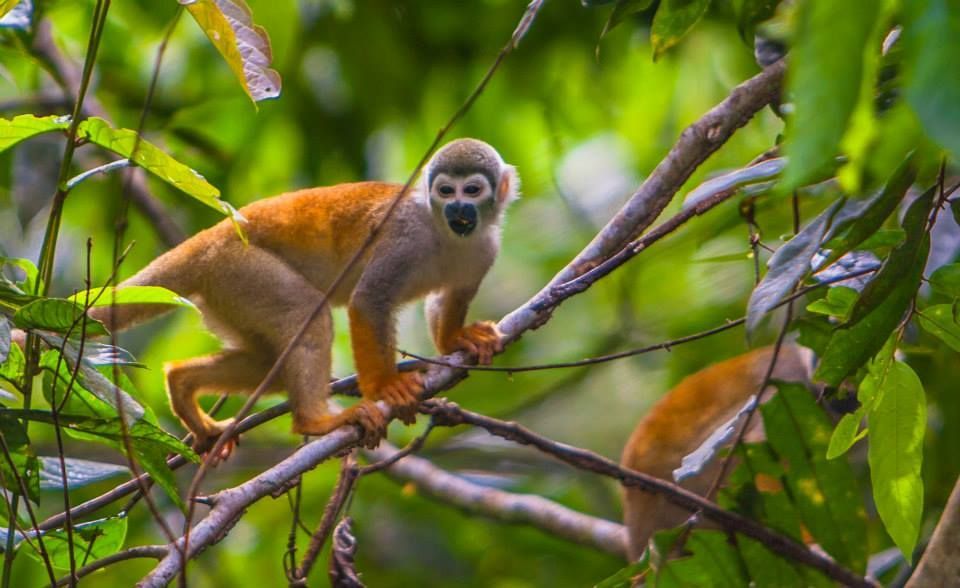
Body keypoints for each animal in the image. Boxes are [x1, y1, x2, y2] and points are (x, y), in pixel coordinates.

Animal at [88, 138, 516, 450]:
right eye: (446, 190)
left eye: (471, 190)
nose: (458, 208)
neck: (445, 233)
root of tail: (217, 233)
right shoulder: (405, 239)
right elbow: (369, 300)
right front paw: (385, 387)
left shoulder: (488, 249)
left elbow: (449, 297)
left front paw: (456, 339)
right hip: (242, 268)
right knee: (307, 316)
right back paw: (317, 421)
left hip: (226, 290)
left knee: (269, 364)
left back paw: (182, 384)